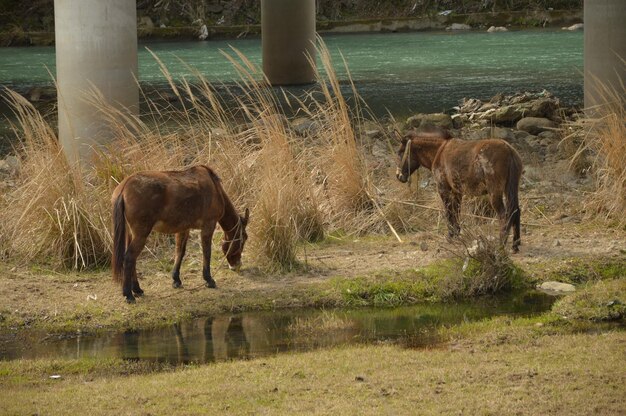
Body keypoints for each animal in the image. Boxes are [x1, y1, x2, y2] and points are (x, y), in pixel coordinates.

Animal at [112, 164, 249, 304]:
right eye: (244, 238)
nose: (237, 265)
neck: (216, 189)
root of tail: (124, 187)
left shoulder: (183, 228)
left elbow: (180, 252)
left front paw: (176, 280)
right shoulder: (208, 225)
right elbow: (206, 252)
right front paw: (209, 280)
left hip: (131, 233)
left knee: (132, 259)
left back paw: (137, 289)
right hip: (141, 234)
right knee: (129, 258)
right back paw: (129, 294)